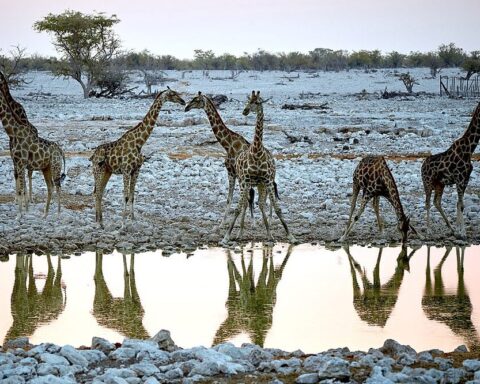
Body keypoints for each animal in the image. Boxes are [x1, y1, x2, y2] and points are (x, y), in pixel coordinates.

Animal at [0, 70, 65, 218]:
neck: (12, 132)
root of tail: (60, 151)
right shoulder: (17, 161)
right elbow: (20, 185)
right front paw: (22, 210)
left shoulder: (21, 162)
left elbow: (21, 187)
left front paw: (21, 213)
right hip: (46, 168)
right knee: (51, 186)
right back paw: (45, 214)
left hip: (55, 166)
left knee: (58, 185)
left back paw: (58, 214)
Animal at [90, 87, 186, 226]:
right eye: (172, 94)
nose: (183, 101)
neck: (139, 142)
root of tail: (93, 155)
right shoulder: (126, 170)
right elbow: (125, 196)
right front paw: (123, 223)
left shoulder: (136, 170)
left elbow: (132, 196)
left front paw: (132, 219)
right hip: (98, 170)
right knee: (96, 192)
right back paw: (99, 222)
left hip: (107, 171)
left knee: (100, 192)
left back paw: (101, 221)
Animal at [185, 91, 251, 226]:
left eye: (197, 100)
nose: (186, 107)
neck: (228, 145)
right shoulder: (232, 173)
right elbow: (229, 199)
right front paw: (222, 224)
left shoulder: (235, 173)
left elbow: (237, 199)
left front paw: (227, 225)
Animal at [222, 90, 296, 243]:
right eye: (248, 100)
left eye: (257, 102)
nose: (245, 111)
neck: (257, 151)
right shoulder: (245, 180)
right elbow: (237, 208)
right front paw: (226, 236)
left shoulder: (267, 180)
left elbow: (278, 208)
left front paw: (291, 236)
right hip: (246, 183)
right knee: (250, 204)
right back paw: (244, 233)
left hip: (262, 184)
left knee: (262, 203)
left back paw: (269, 234)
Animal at [422, 100, 478, 238]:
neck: (469, 150)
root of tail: (422, 165)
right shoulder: (460, 178)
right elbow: (460, 204)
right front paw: (462, 232)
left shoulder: (465, 179)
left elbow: (460, 204)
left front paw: (458, 230)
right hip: (427, 182)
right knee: (427, 203)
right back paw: (429, 230)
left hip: (439, 184)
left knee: (437, 202)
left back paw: (451, 228)